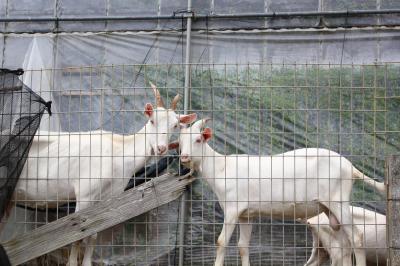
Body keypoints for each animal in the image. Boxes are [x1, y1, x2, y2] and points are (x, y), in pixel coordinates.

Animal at [3, 83, 197, 266]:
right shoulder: (85, 194)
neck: (118, 152)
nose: (161, 148)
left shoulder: (105, 198)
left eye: (175, 125)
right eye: (152, 121)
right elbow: (78, 234)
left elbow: (94, 233)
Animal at [176, 119, 388, 266]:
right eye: (179, 141)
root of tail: (350, 167)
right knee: (343, 244)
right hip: (330, 210)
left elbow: (221, 242)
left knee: (356, 237)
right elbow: (243, 246)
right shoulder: (246, 214)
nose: (184, 157)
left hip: (338, 201)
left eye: (198, 139)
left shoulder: (232, 210)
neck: (222, 168)